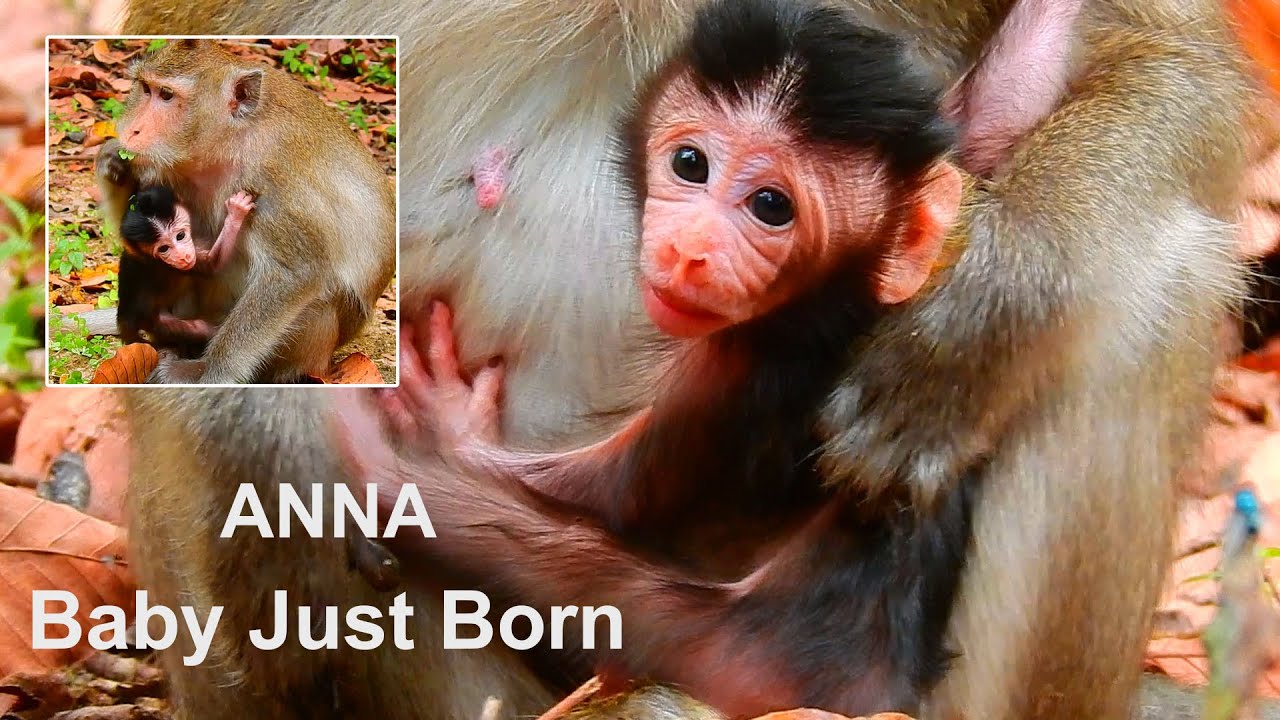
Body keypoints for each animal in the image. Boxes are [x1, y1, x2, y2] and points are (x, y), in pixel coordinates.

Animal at [115, 186, 255, 351]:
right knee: (196, 329)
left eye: (180, 236)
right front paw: (236, 214)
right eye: (163, 248)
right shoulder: (168, 266)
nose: (183, 256)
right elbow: (213, 265)